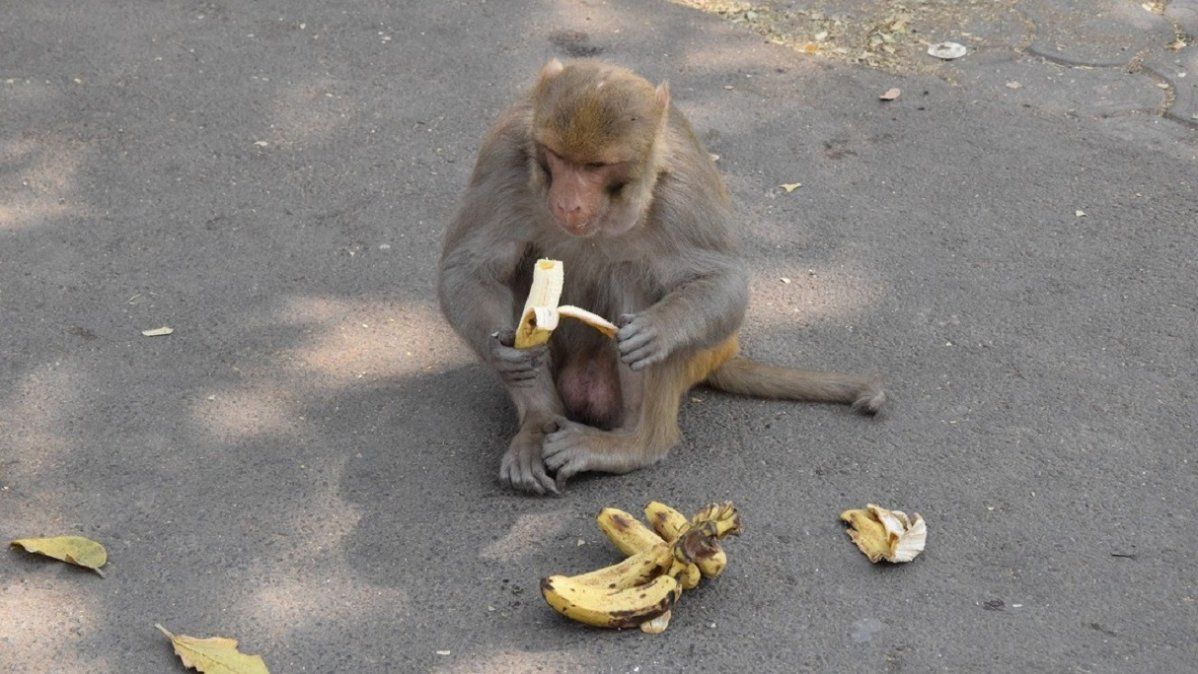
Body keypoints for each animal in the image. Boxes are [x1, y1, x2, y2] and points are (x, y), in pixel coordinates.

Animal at [438, 59, 884, 495]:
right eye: (558, 157)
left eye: (595, 166)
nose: (569, 203)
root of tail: (724, 355)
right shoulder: (504, 152)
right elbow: (471, 268)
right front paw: (504, 351)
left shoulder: (683, 187)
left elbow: (722, 282)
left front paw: (659, 329)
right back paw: (539, 423)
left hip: (703, 349)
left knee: (634, 278)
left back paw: (636, 444)